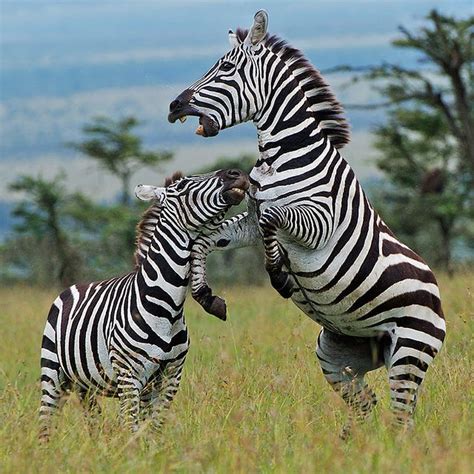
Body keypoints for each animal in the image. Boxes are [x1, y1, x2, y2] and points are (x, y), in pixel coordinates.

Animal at [39, 168, 250, 440]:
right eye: (182, 186)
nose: (236, 173)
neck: (167, 308)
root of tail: (72, 287)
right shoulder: (130, 375)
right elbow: (131, 425)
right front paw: (130, 450)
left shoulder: (170, 375)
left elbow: (154, 426)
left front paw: (151, 450)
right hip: (52, 371)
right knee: (46, 419)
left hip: (85, 384)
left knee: (93, 419)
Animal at [168, 10, 446, 436]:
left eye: (226, 68)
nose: (174, 105)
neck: (282, 154)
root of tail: (437, 294)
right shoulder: (251, 218)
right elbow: (208, 239)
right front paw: (205, 294)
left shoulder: (319, 222)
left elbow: (272, 218)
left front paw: (279, 275)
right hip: (338, 354)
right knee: (367, 407)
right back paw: (355, 443)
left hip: (409, 351)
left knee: (401, 419)